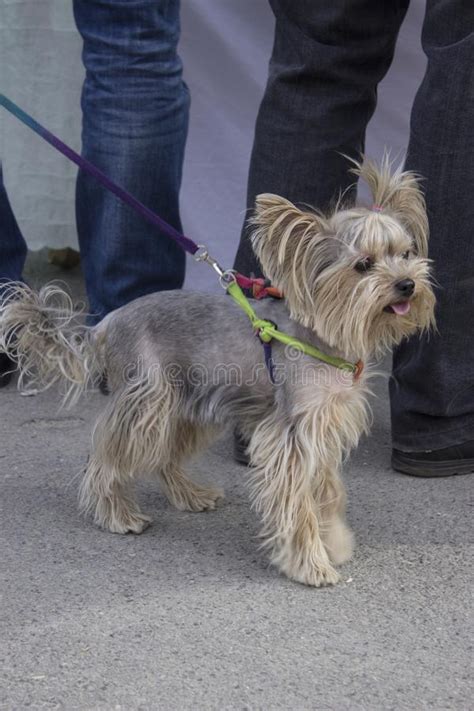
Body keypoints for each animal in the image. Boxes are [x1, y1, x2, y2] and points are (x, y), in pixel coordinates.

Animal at [0, 159, 436, 588]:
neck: (321, 335)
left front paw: (335, 542)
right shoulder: (291, 437)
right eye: (363, 265)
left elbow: (328, 492)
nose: (408, 284)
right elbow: (298, 504)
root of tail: (105, 322)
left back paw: (190, 495)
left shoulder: (325, 429)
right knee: (106, 459)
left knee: (163, 457)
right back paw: (117, 515)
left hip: (187, 407)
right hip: (149, 403)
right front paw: (311, 564)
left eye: (407, 253)